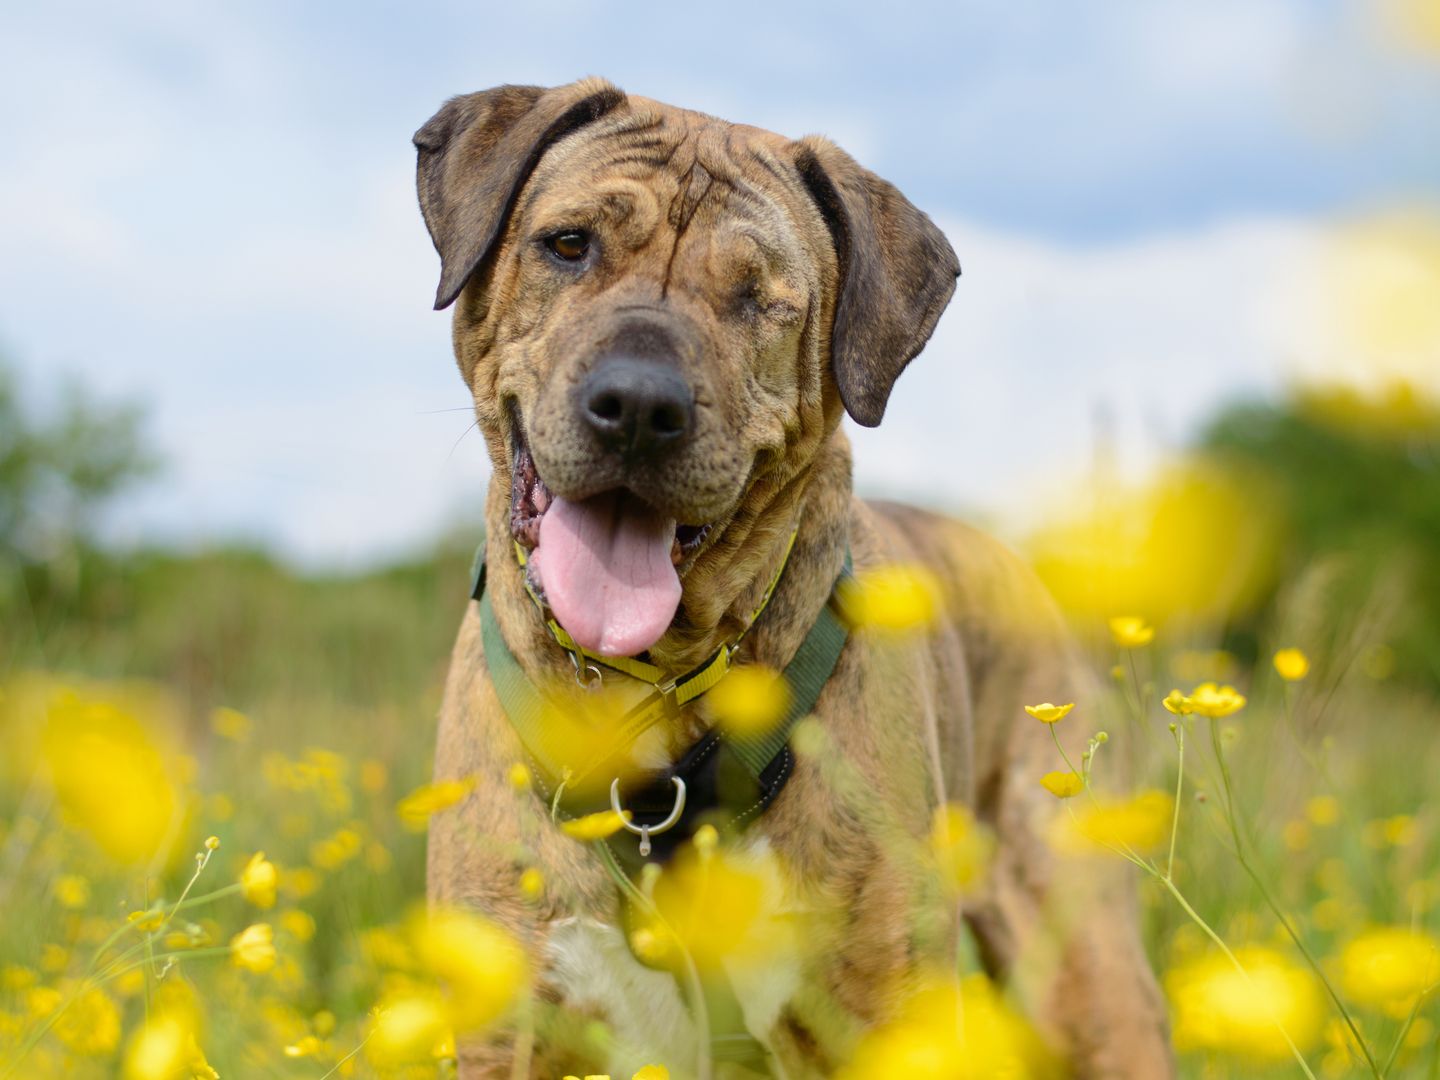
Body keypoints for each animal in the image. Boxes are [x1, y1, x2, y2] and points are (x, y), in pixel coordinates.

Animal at [414, 78, 1169, 1080]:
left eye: (759, 299)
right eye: (569, 245)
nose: (639, 406)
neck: (648, 694)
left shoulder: (882, 1010)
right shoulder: (508, 1031)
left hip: (1089, 976)